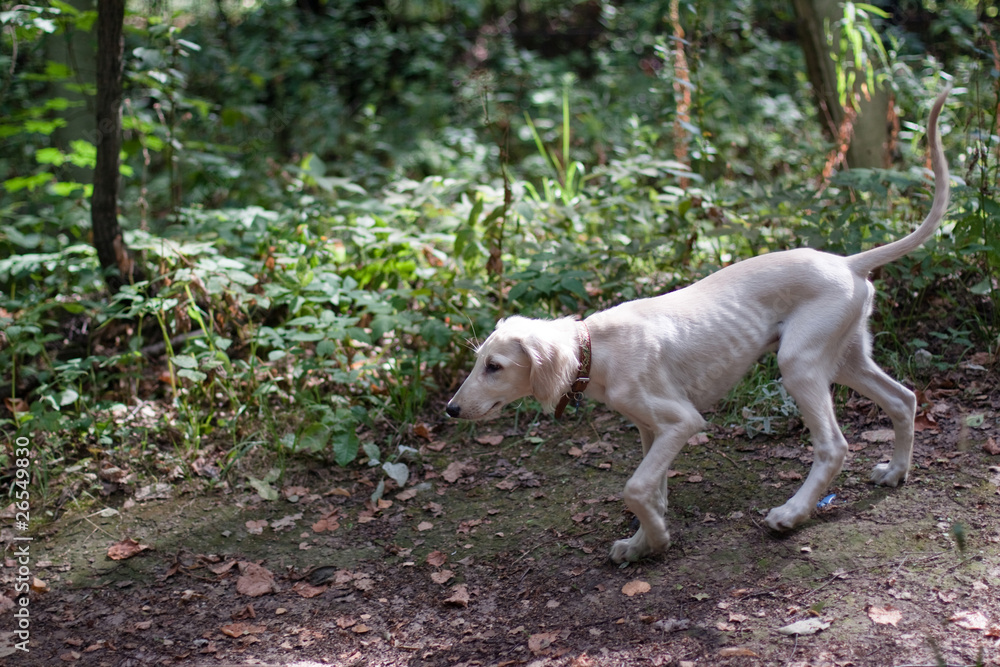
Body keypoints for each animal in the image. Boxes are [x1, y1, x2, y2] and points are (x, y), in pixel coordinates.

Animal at [448, 86, 952, 560]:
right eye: (477, 362)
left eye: (494, 366)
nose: (451, 410)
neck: (598, 348)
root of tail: (848, 262)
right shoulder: (651, 430)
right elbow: (652, 489)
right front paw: (643, 542)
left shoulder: (681, 421)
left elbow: (634, 488)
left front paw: (654, 537)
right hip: (845, 355)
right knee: (904, 399)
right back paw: (896, 472)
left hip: (800, 363)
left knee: (833, 446)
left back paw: (791, 514)